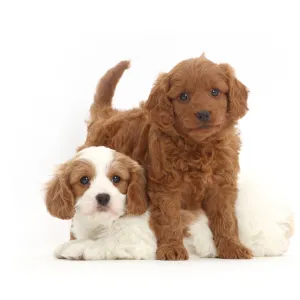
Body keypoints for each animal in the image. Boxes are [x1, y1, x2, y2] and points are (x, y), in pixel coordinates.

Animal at [45, 146, 294, 258]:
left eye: (116, 179)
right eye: (84, 180)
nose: (103, 197)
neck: (102, 223)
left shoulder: (135, 243)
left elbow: (103, 244)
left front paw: (77, 248)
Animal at [56, 54, 251, 260]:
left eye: (215, 92)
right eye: (183, 96)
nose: (203, 114)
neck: (198, 146)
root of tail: (107, 115)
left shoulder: (222, 185)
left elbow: (226, 218)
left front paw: (232, 247)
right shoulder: (166, 186)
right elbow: (169, 218)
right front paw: (172, 248)